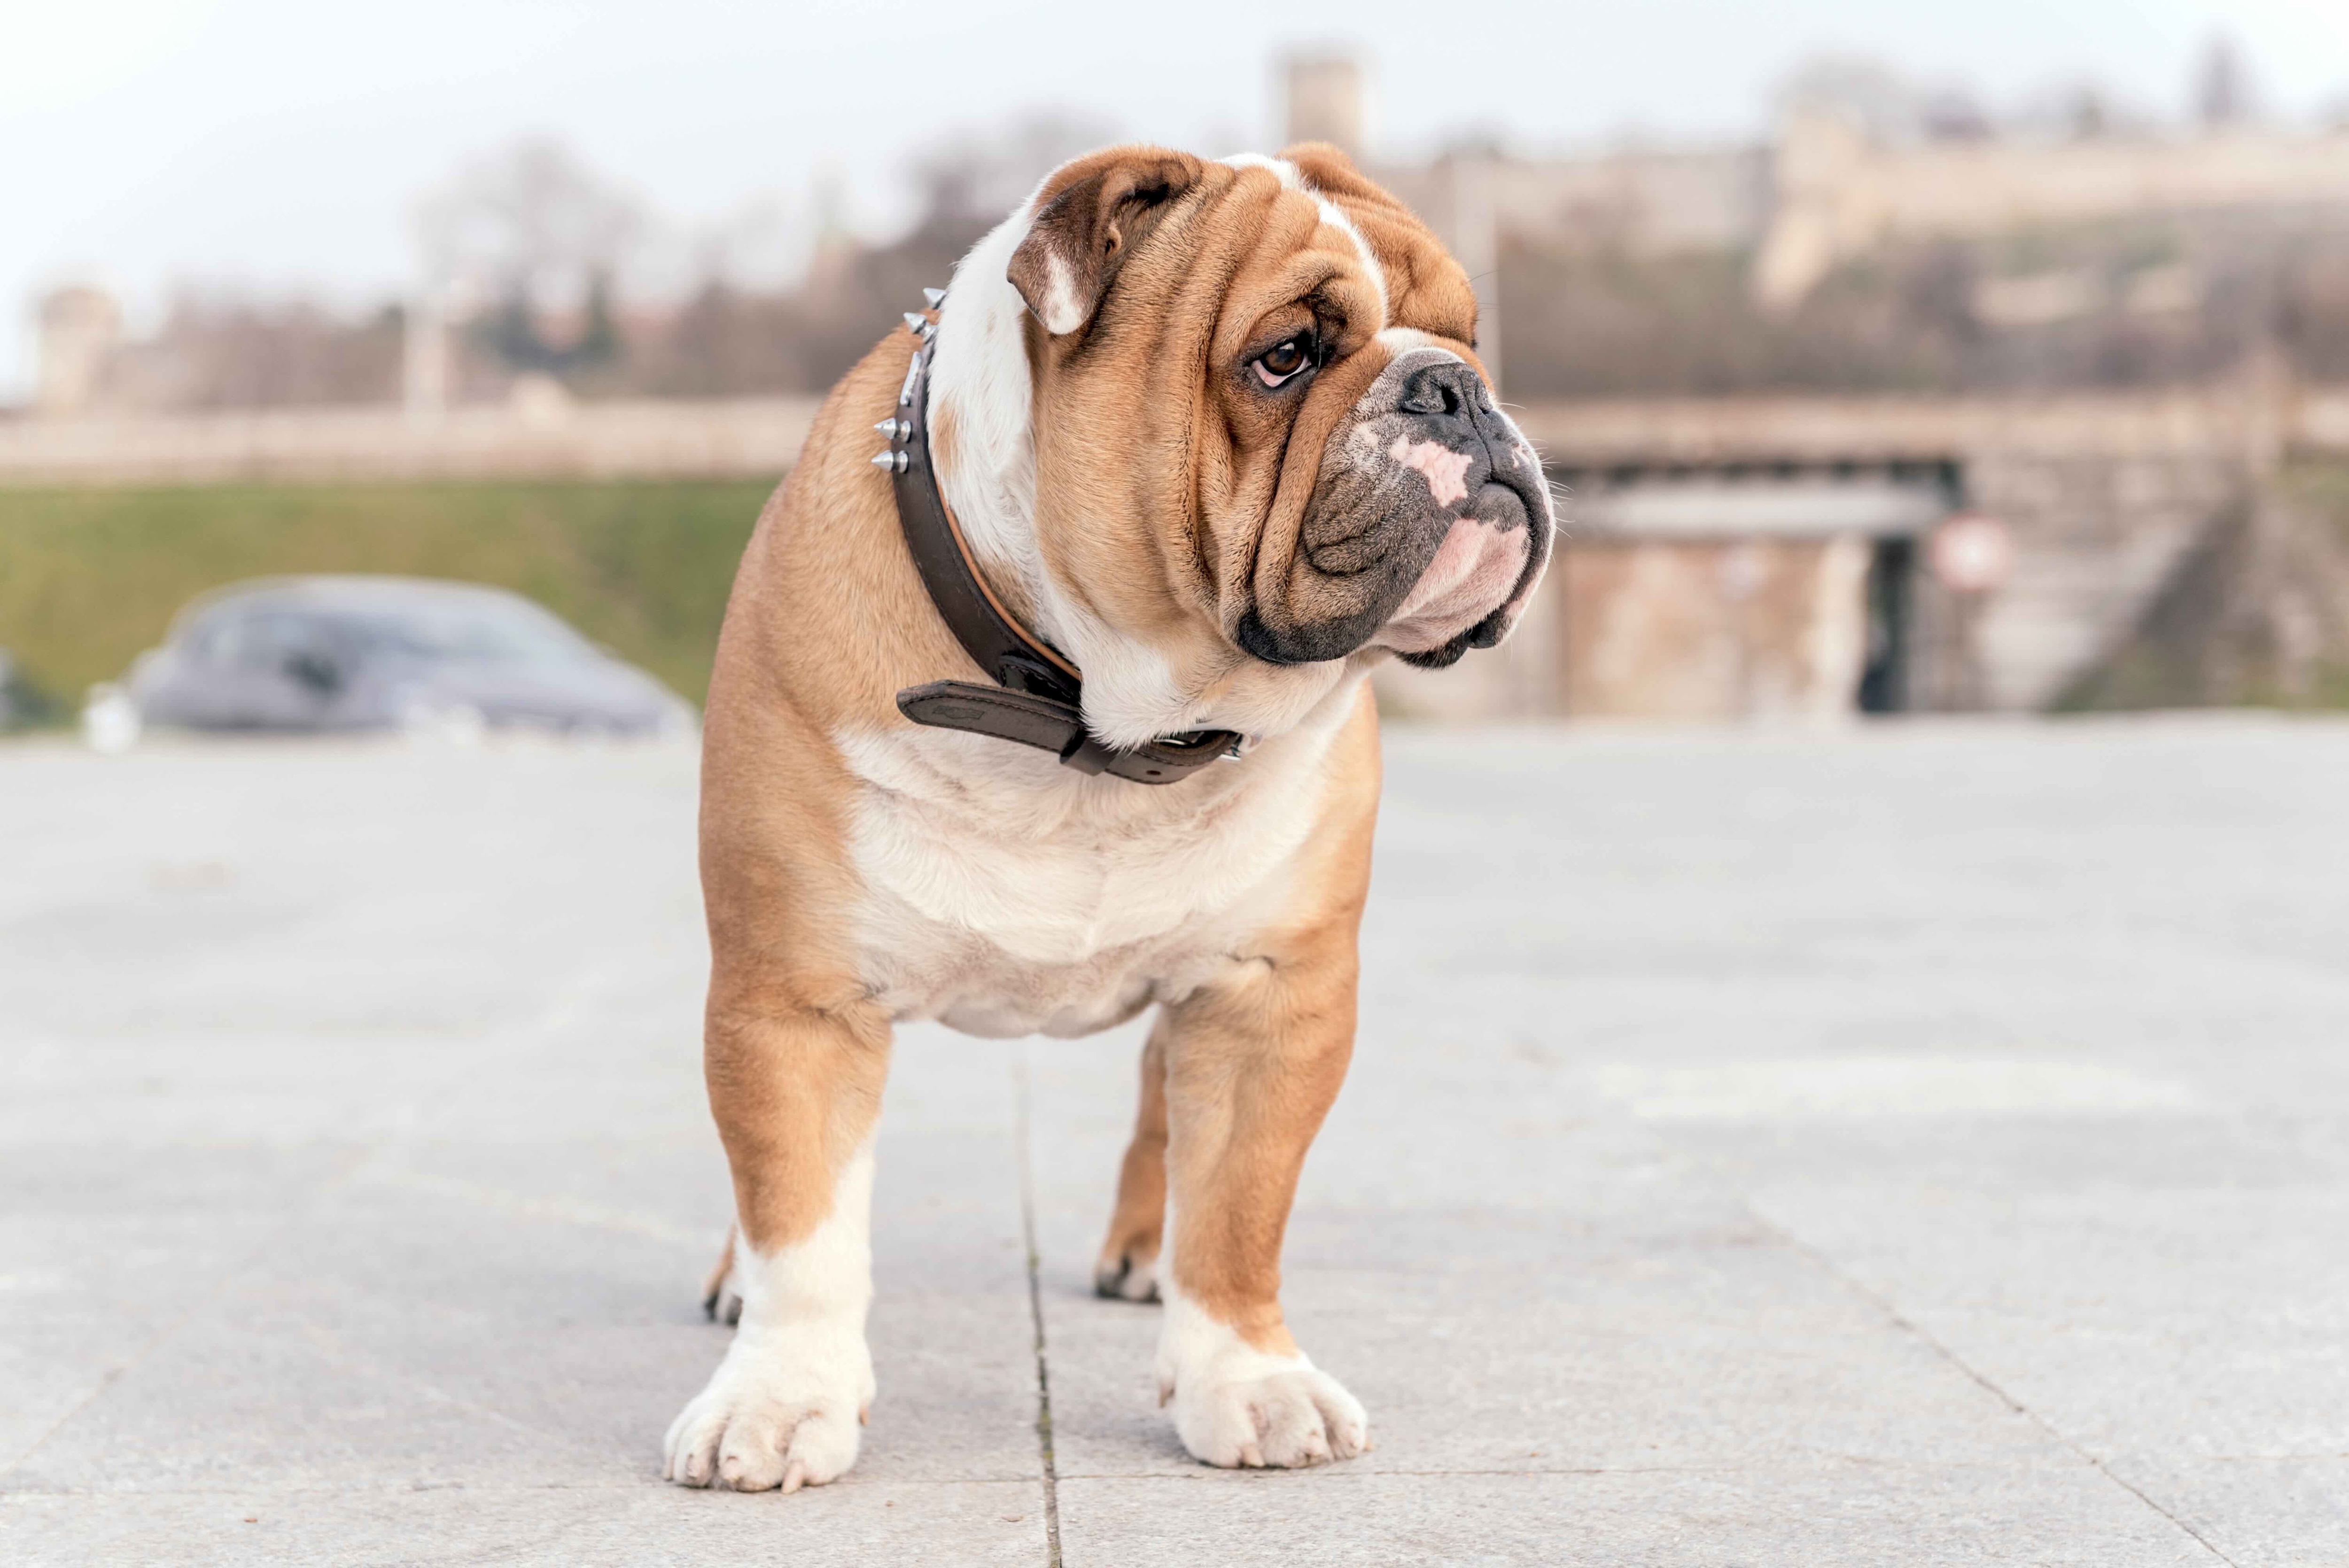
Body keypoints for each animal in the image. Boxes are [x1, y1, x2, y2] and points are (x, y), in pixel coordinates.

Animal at [662, 140, 1550, 1493]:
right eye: (1285, 355)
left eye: (1467, 334)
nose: (1454, 391)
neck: (1094, 722)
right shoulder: (794, 994)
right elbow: (800, 1219)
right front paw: (776, 1396)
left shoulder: (1269, 992)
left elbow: (1237, 1204)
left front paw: (1247, 1376)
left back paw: (1145, 1254)